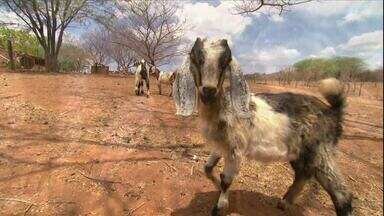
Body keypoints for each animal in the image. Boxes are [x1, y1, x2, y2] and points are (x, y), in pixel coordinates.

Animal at [172, 38, 352, 216]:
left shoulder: (236, 148)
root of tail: (333, 111)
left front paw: (220, 205)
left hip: (320, 151)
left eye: (225, 61)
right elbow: (207, 168)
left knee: (342, 194)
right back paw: (284, 203)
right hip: (300, 152)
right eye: (196, 58)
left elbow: (226, 180)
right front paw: (217, 187)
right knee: (303, 174)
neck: (223, 108)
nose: (209, 90)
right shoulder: (222, 144)